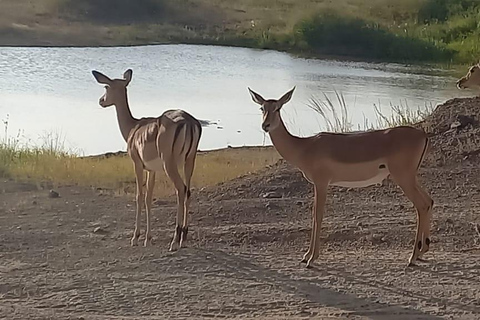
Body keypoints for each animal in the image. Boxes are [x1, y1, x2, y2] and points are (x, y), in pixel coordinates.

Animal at [93, 69, 202, 251]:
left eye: (106, 86)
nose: (101, 101)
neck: (133, 128)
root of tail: (188, 121)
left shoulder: (137, 164)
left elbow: (139, 196)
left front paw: (135, 238)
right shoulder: (152, 170)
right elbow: (149, 198)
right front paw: (148, 238)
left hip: (170, 164)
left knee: (180, 189)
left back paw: (174, 240)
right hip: (189, 161)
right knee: (188, 191)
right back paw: (183, 238)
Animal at [249, 87, 434, 268]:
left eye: (278, 108)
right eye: (262, 108)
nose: (265, 125)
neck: (304, 147)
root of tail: (422, 134)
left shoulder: (321, 183)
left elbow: (318, 215)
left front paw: (311, 259)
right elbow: (314, 215)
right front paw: (306, 256)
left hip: (403, 177)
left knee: (421, 205)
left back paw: (412, 258)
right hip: (410, 178)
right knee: (429, 201)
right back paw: (421, 252)